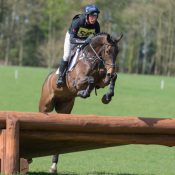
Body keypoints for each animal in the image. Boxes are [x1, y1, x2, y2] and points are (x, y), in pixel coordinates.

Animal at [38, 32, 122, 173]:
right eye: (108, 51)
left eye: (117, 52)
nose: (111, 71)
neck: (92, 59)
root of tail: (47, 79)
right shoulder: (76, 82)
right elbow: (91, 79)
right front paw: (83, 93)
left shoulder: (102, 80)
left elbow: (110, 79)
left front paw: (107, 97)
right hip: (45, 106)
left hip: (65, 108)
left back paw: (53, 166)